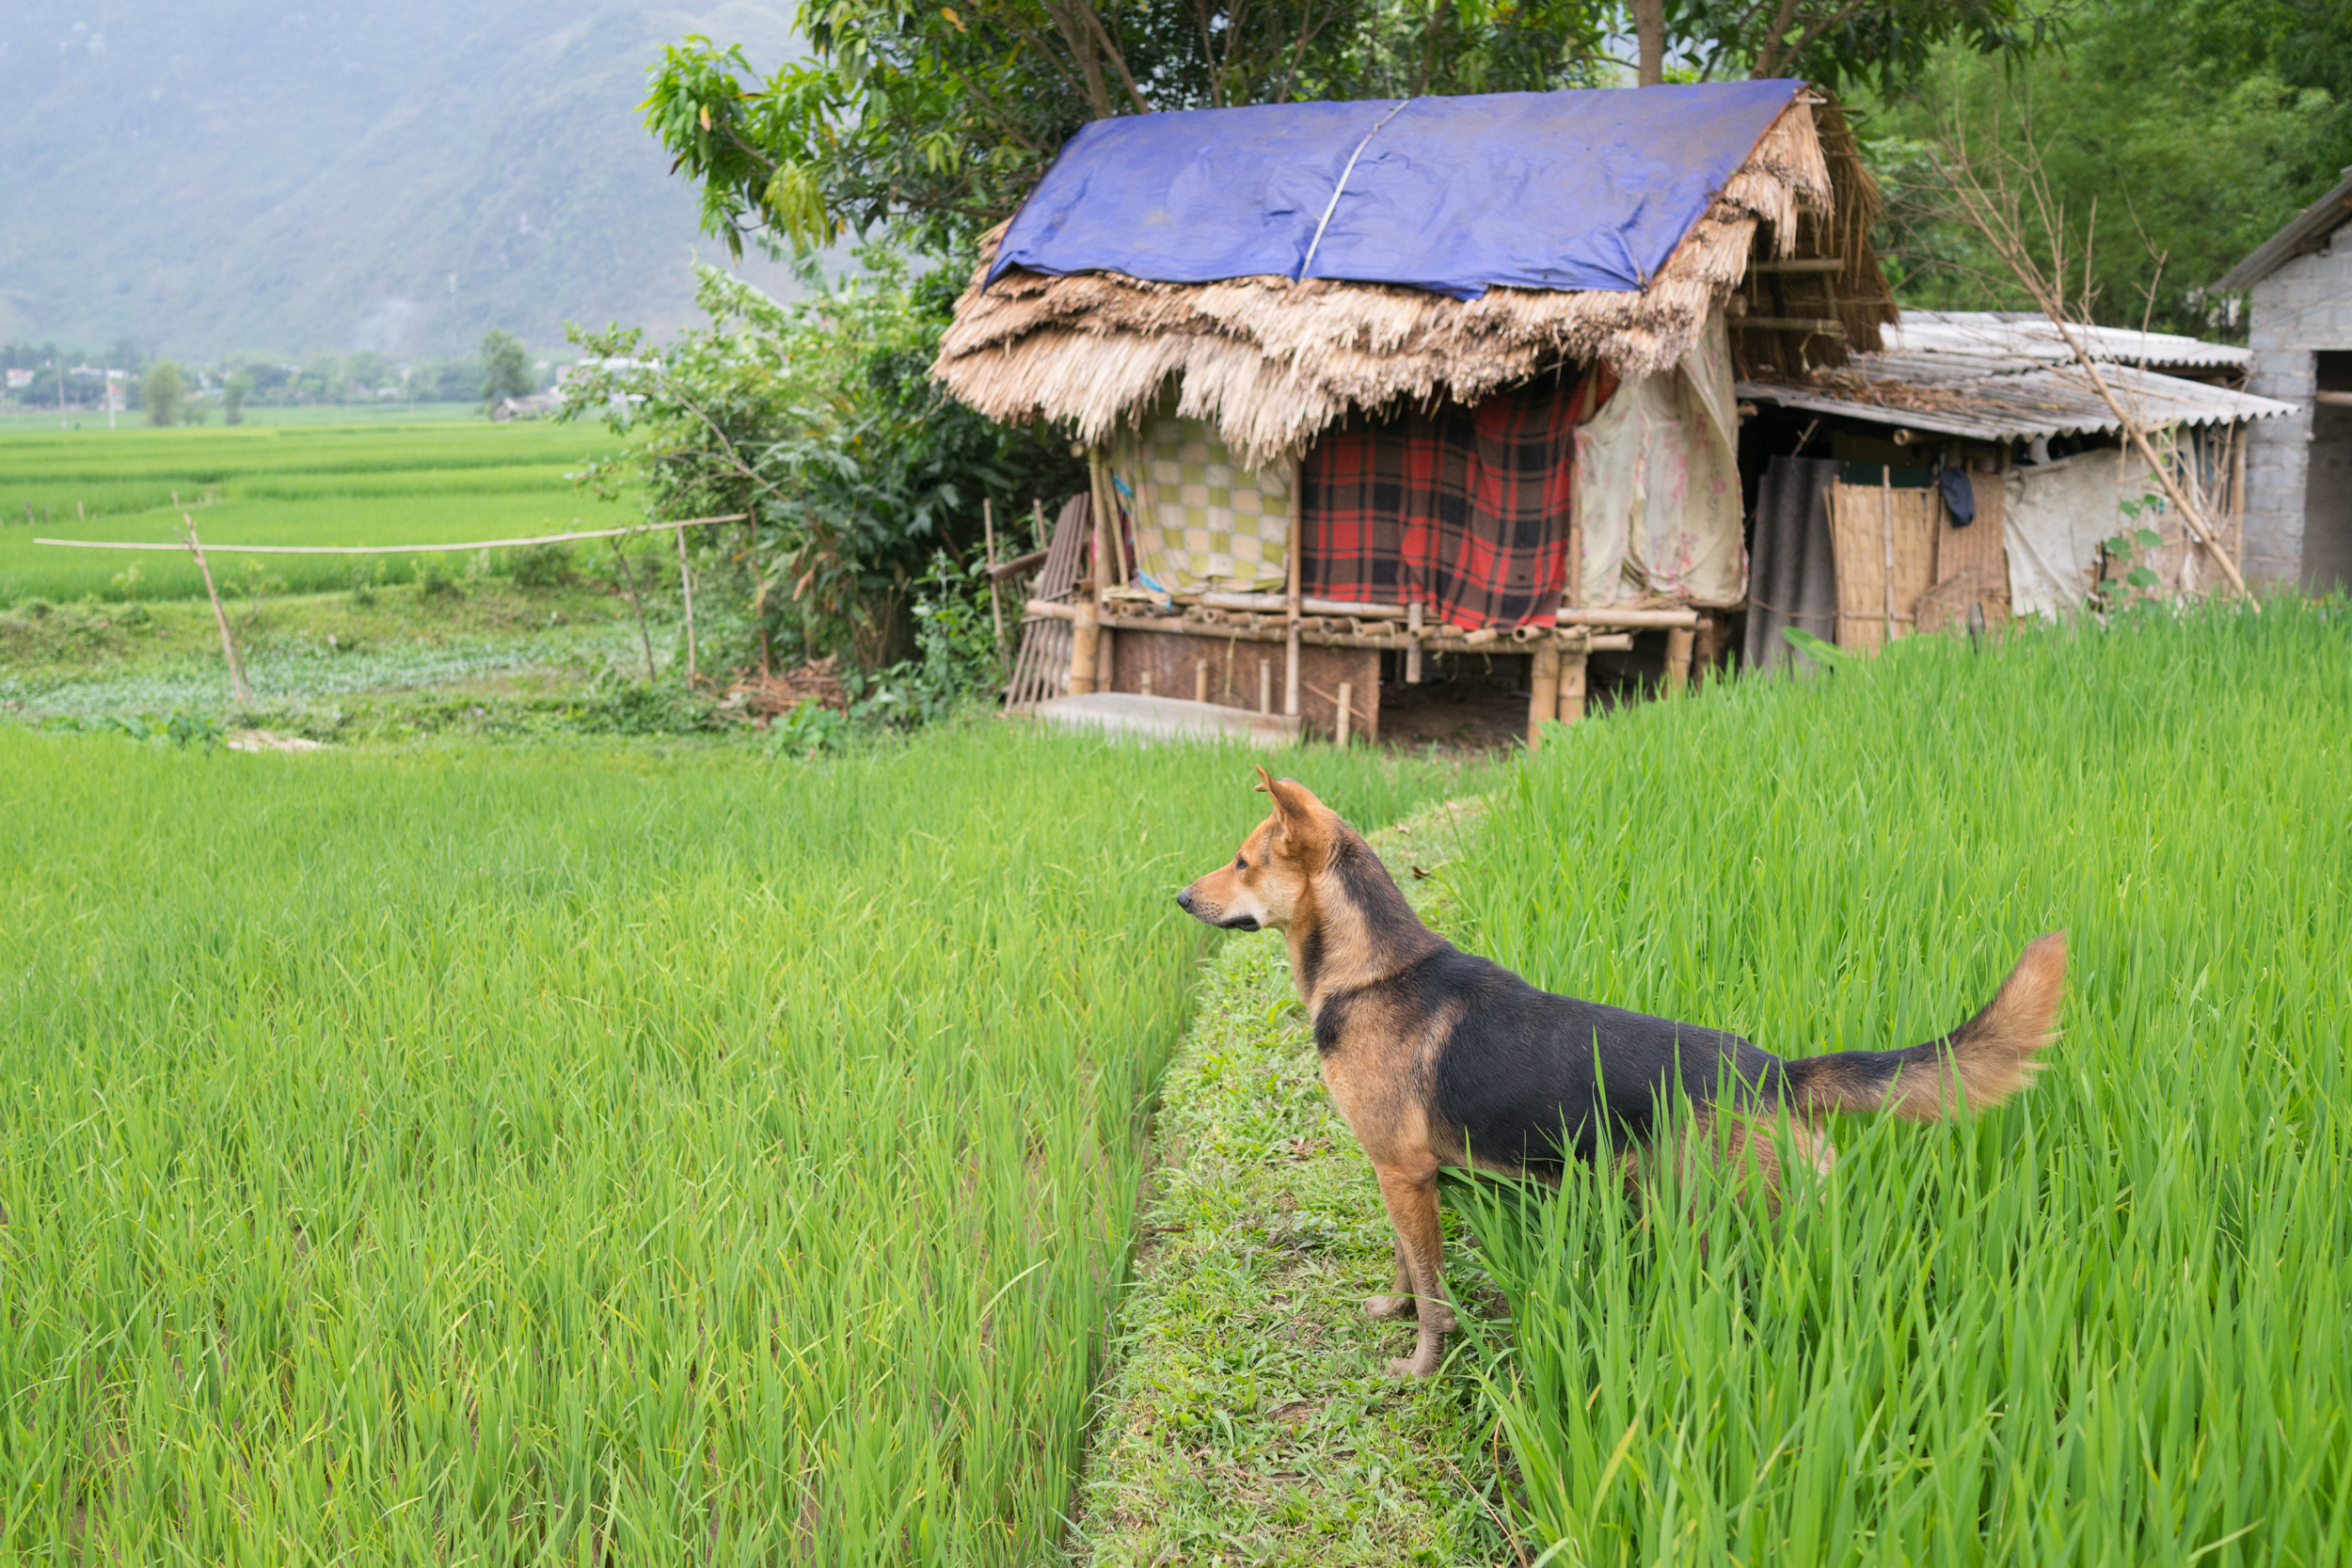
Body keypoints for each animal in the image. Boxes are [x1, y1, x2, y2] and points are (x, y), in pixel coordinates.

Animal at [1176, 770, 2060, 1372]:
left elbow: (1433, 1293)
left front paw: (1420, 1364)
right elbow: (1406, 1263)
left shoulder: (1403, 1170)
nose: (1181, 897)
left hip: (1737, 1216)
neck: (1370, 969)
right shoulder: (1402, 1173)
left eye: (1243, 862)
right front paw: (1390, 1306)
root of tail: (1775, 1071)